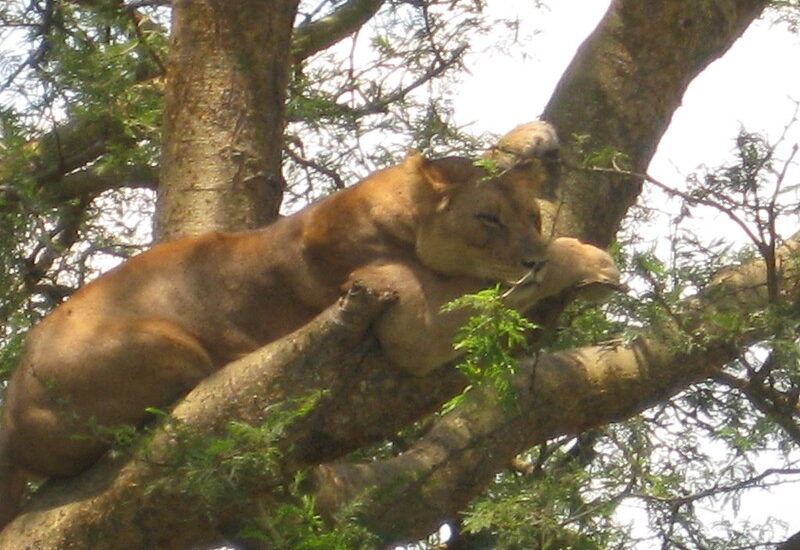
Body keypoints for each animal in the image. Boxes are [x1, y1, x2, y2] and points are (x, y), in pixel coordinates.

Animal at [0, 122, 620, 532]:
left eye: (532, 216)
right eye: (487, 219)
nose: (529, 256)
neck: (388, 208)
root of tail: (9, 421)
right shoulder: (409, 322)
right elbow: (499, 292)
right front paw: (586, 261)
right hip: (165, 343)